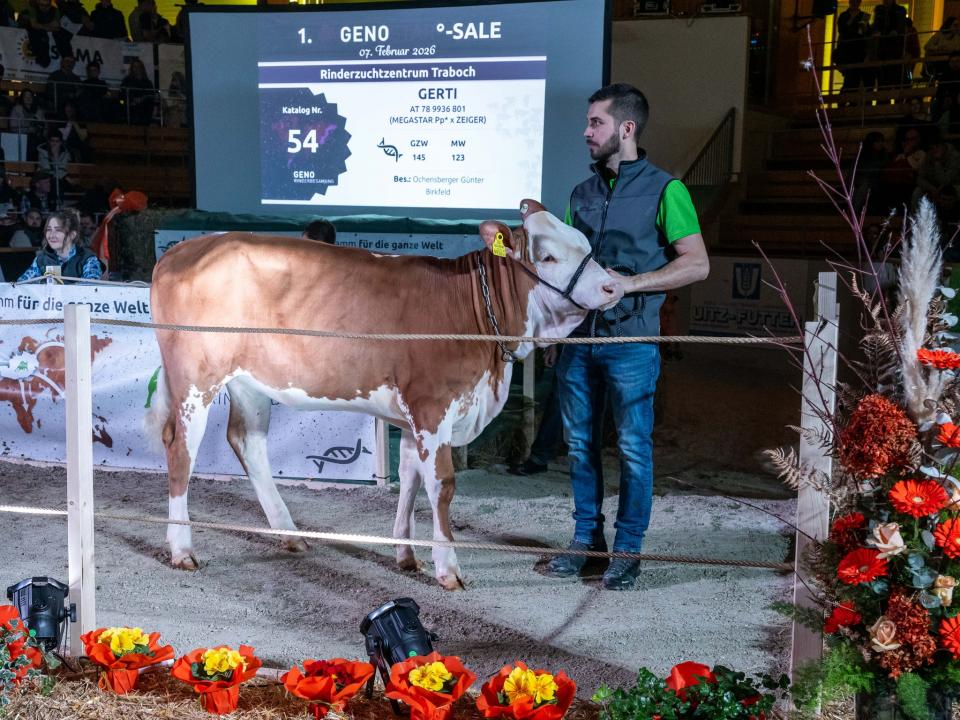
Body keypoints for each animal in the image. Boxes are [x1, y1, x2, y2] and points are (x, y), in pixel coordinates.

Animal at [146, 199, 624, 589]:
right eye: (548, 257)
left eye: (585, 244)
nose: (612, 287)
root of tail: (185, 249)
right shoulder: (431, 405)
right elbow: (441, 486)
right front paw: (448, 568)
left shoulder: (413, 416)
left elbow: (410, 481)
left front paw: (407, 556)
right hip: (195, 378)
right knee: (180, 448)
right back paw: (182, 548)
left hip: (250, 382)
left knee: (247, 441)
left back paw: (290, 534)